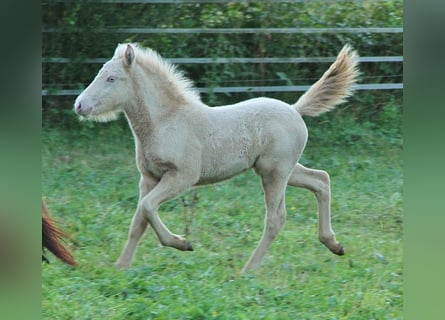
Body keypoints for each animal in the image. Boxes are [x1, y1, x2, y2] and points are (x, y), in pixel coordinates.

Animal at [73, 43, 358, 272]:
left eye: (111, 78)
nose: (79, 105)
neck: (165, 122)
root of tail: (295, 109)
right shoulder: (149, 178)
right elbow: (138, 221)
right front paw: (120, 267)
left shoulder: (182, 177)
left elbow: (148, 207)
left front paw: (182, 243)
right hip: (283, 169)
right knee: (321, 180)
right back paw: (334, 244)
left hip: (274, 173)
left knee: (276, 218)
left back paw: (248, 270)